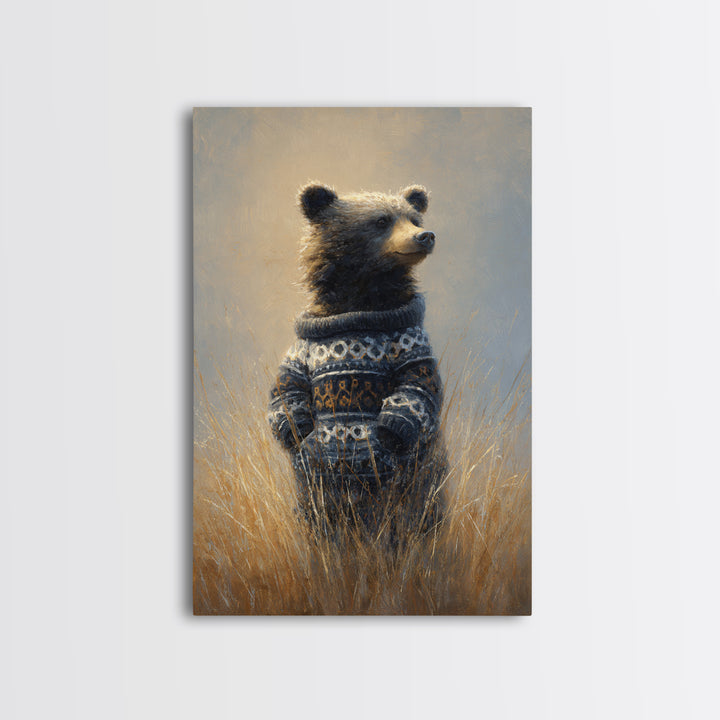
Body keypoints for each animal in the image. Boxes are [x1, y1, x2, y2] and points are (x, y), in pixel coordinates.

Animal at [267, 182, 447, 542]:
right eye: (381, 220)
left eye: (414, 218)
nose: (425, 236)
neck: (360, 303)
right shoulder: (304, 345)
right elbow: (287, 384)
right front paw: (294, 426)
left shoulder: (408, 338)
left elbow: (419, 382)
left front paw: (391, 428)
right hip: (315, 481)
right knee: (318, 512)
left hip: (418, 471)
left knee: (416, 508)